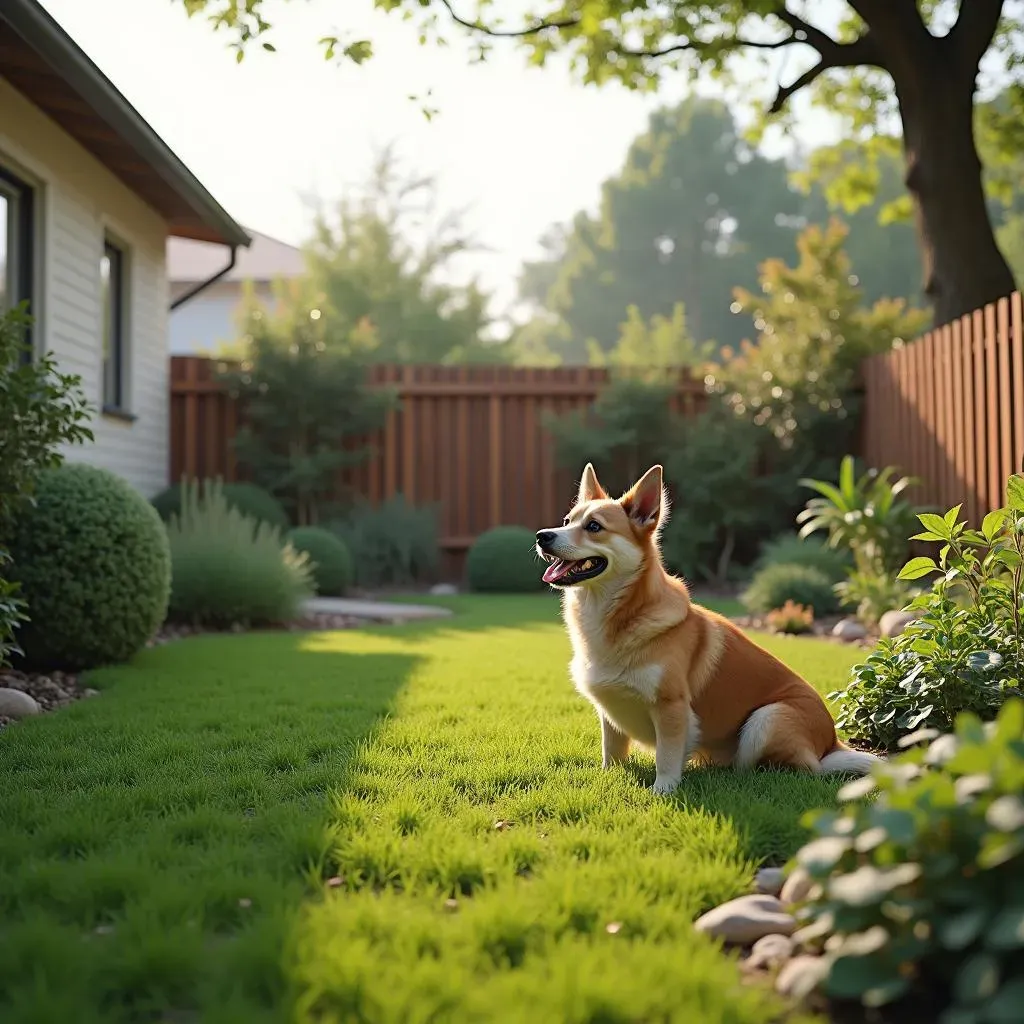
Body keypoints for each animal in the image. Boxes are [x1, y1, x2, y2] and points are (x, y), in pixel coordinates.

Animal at [536, 462, 880, 790]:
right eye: (567, 521)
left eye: (594, 527)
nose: (542, 535)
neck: (617, 614)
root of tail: (831, 744)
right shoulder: (610, 711)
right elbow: (612, 751)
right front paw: (609, 776)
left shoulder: (672, 706)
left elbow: (667, 756)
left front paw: (664, 790)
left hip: (768, 718)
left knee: (793, 770)